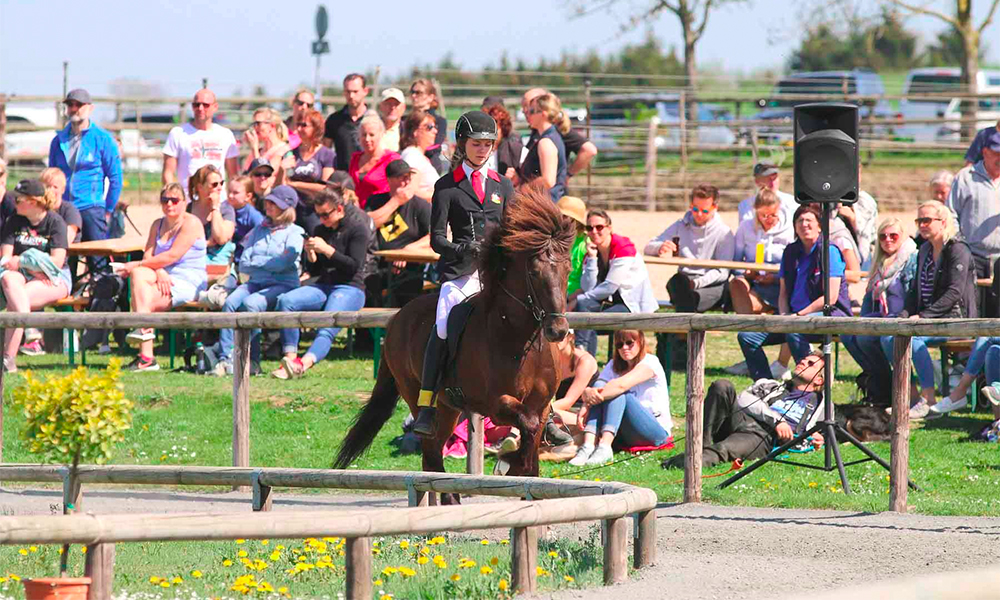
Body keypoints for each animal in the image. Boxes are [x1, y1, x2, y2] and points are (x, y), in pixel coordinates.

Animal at [332, 180, 576, 500]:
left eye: (567, 270)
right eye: (534, 273)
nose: (557, 330)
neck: (522, 342)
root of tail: (397, 318)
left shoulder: (542, 404)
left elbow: (534, 441)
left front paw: (519, 462)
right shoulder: (495, 403)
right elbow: (526, 427)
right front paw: (508, 460)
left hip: (448, 408)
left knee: (435, 452)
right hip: (419, 395)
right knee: (431, 452)